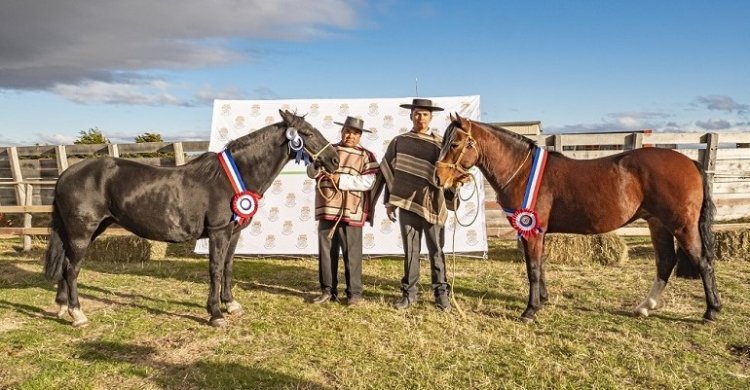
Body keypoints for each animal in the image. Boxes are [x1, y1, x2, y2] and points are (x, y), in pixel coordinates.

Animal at [44, 109, 340, 326]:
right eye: (307, 133)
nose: (335, 159)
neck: (231, 178)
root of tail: (66, 174)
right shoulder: (219, 232)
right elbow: (215, 270)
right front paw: (216, 314)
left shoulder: (234, 233)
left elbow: (228, 268)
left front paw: (231, 304)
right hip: (82, 232)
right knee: (71, 269)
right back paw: (77, 314)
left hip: (88, 231)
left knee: (65, 265)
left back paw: (61, 307)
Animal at [434, 114, 724, 324]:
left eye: (455, 144)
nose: (439, 178)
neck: (524, 172)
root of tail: (691, 163)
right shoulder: (535, 231)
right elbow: (538, 265)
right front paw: (543, 300)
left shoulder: (532, 230)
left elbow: (533, 269)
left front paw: (530, 310)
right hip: (658, 224)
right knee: (665, 262)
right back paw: (645, 306)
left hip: (681, 226)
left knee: (703, 262)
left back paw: (711, 312)